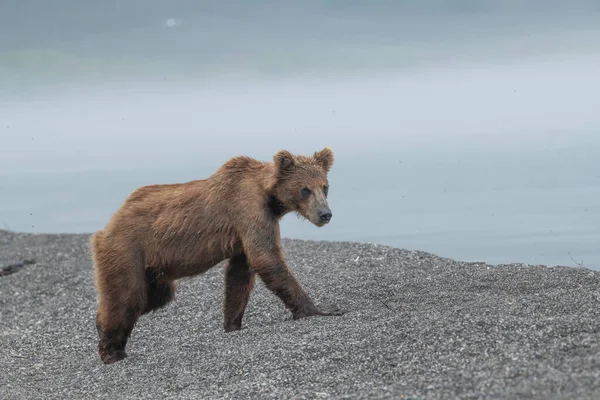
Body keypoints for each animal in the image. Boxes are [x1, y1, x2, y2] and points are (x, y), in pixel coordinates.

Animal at [88, 148, 342, 366]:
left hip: (152, 269)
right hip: (127, 249)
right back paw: (112, 351)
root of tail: (108, 225)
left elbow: (239, 275)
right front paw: (321, 309)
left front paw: (233, 323)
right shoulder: (248, 208)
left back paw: (101, 325)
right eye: (305, 189)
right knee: (128, 296)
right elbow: (266, 258)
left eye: (325, 187)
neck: (269, 197)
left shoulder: (243, 232)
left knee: (155, 297)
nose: (325, 214)